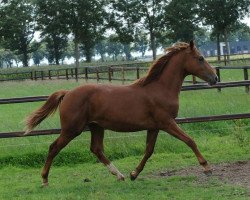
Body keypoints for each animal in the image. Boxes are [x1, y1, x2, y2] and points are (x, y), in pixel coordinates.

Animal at [24, 40, 217, 186]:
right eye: (200, 58)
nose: (215, 78)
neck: (160, 88)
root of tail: (68, 93)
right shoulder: (167, 123)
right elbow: (190, 141)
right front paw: (207, 167)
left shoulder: (154, 127)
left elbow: (149, 151)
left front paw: (134, 174)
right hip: (72, 129)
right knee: (54, 147)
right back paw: (45, 180)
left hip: (96, 127)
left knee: (96, 149)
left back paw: (120, 175)